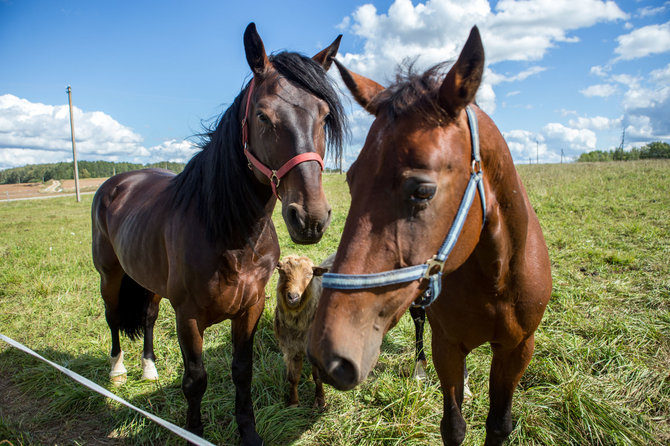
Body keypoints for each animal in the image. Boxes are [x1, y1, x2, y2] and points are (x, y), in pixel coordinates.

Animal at [92, 22, 346, 444]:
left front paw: (249, 432)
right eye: (262, 116)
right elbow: (195, 379)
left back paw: (149, 369)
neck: (230, 235)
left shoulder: (251, 307)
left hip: (149, 280)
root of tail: (118, 182)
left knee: (147, 317)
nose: (310, 218)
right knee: (113, 316)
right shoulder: (188, 317)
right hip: (110, 274)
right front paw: (194, 431)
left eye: (324, 116)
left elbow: (242, 373)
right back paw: (118, 371)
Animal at [310, 26, 552, 444]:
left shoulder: (518, 349)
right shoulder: (447, 345)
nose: (329, 358)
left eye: (422, 191)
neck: (496, 279)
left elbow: (498, 424)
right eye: (352, 180)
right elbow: (453, 425)